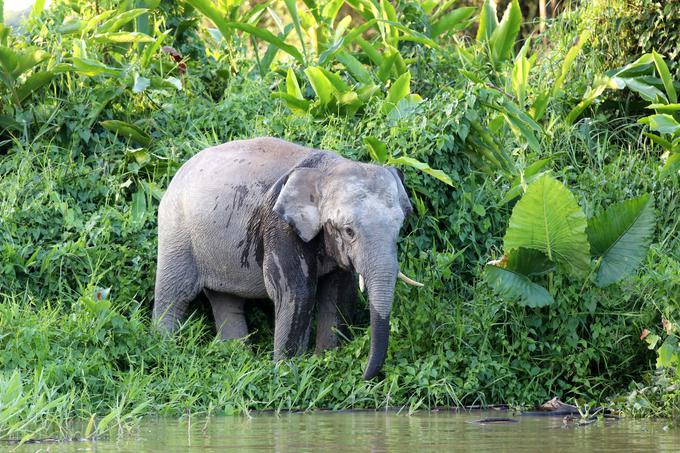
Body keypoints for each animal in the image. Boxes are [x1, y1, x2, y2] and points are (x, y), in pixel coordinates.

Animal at [151, 137, 422, 378]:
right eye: (348, 231)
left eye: (400, 227)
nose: (365, 374)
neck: (328, 169)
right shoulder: (279, 226)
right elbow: (296, 292)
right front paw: (288, 372)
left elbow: (338, 293)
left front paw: (326, 360)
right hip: (176, 231)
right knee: (176, 293)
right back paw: (166, 348)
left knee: (225, 299)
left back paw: (236, 357)